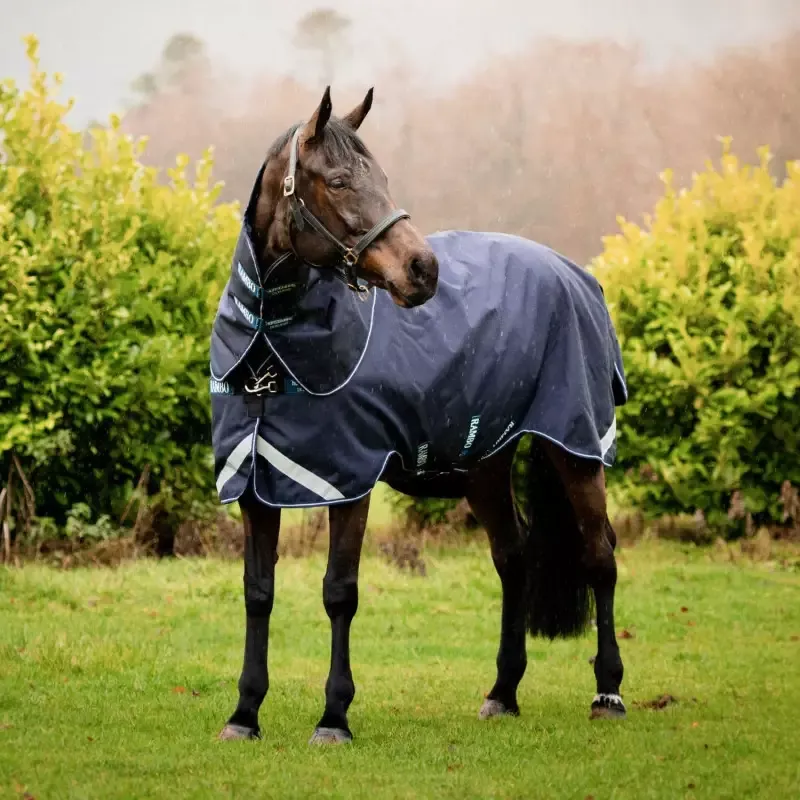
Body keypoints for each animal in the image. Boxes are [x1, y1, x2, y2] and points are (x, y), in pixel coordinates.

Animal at [209, 87, 628, 745]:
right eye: (338, 181)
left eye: (381, 178)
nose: (422, 270)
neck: (271, 353)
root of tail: (575, 274)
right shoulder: (255, 484)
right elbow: (258, 593)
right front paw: (245, 713)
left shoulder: (349, 480)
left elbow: (340, 592)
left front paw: (333, 717)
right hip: (487, 465)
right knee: (514, 557)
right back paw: (502, 692)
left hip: (575, 446)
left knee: (599, 556)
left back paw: (608, 691)